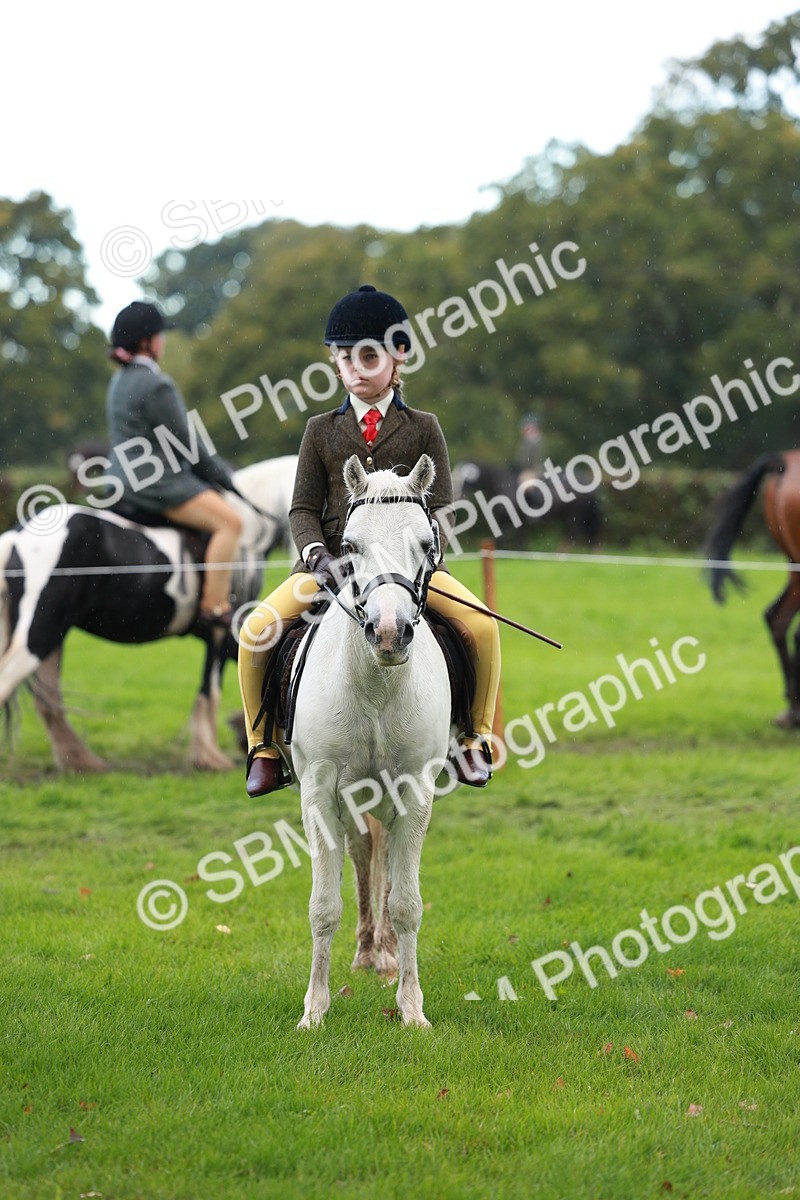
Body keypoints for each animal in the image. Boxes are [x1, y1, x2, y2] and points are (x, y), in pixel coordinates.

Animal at [0, 455, 298, 772]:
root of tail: (17, 536)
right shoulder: (221, 631)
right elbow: (212, 691)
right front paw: (211, 757)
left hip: (54, 634)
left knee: (48, 699)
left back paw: (82, 762)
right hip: (38, 633)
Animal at [282, 454, 451, 1029]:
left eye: (425, 542)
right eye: (350, 545)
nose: (389, 632)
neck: (377, 685)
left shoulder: (416, 793)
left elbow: (407, 904)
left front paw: (412, 1009)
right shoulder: (319, 794)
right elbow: (322, 906)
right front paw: (313, 1011)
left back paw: (385, 956)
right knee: (362, 857)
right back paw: (367, 952)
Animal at [451, 461, 602, 548]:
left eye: (465, 480)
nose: (457, 494)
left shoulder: (513, 521)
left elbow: (515, 540)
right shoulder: (504, 520)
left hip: (574, 516)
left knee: (573, 534)